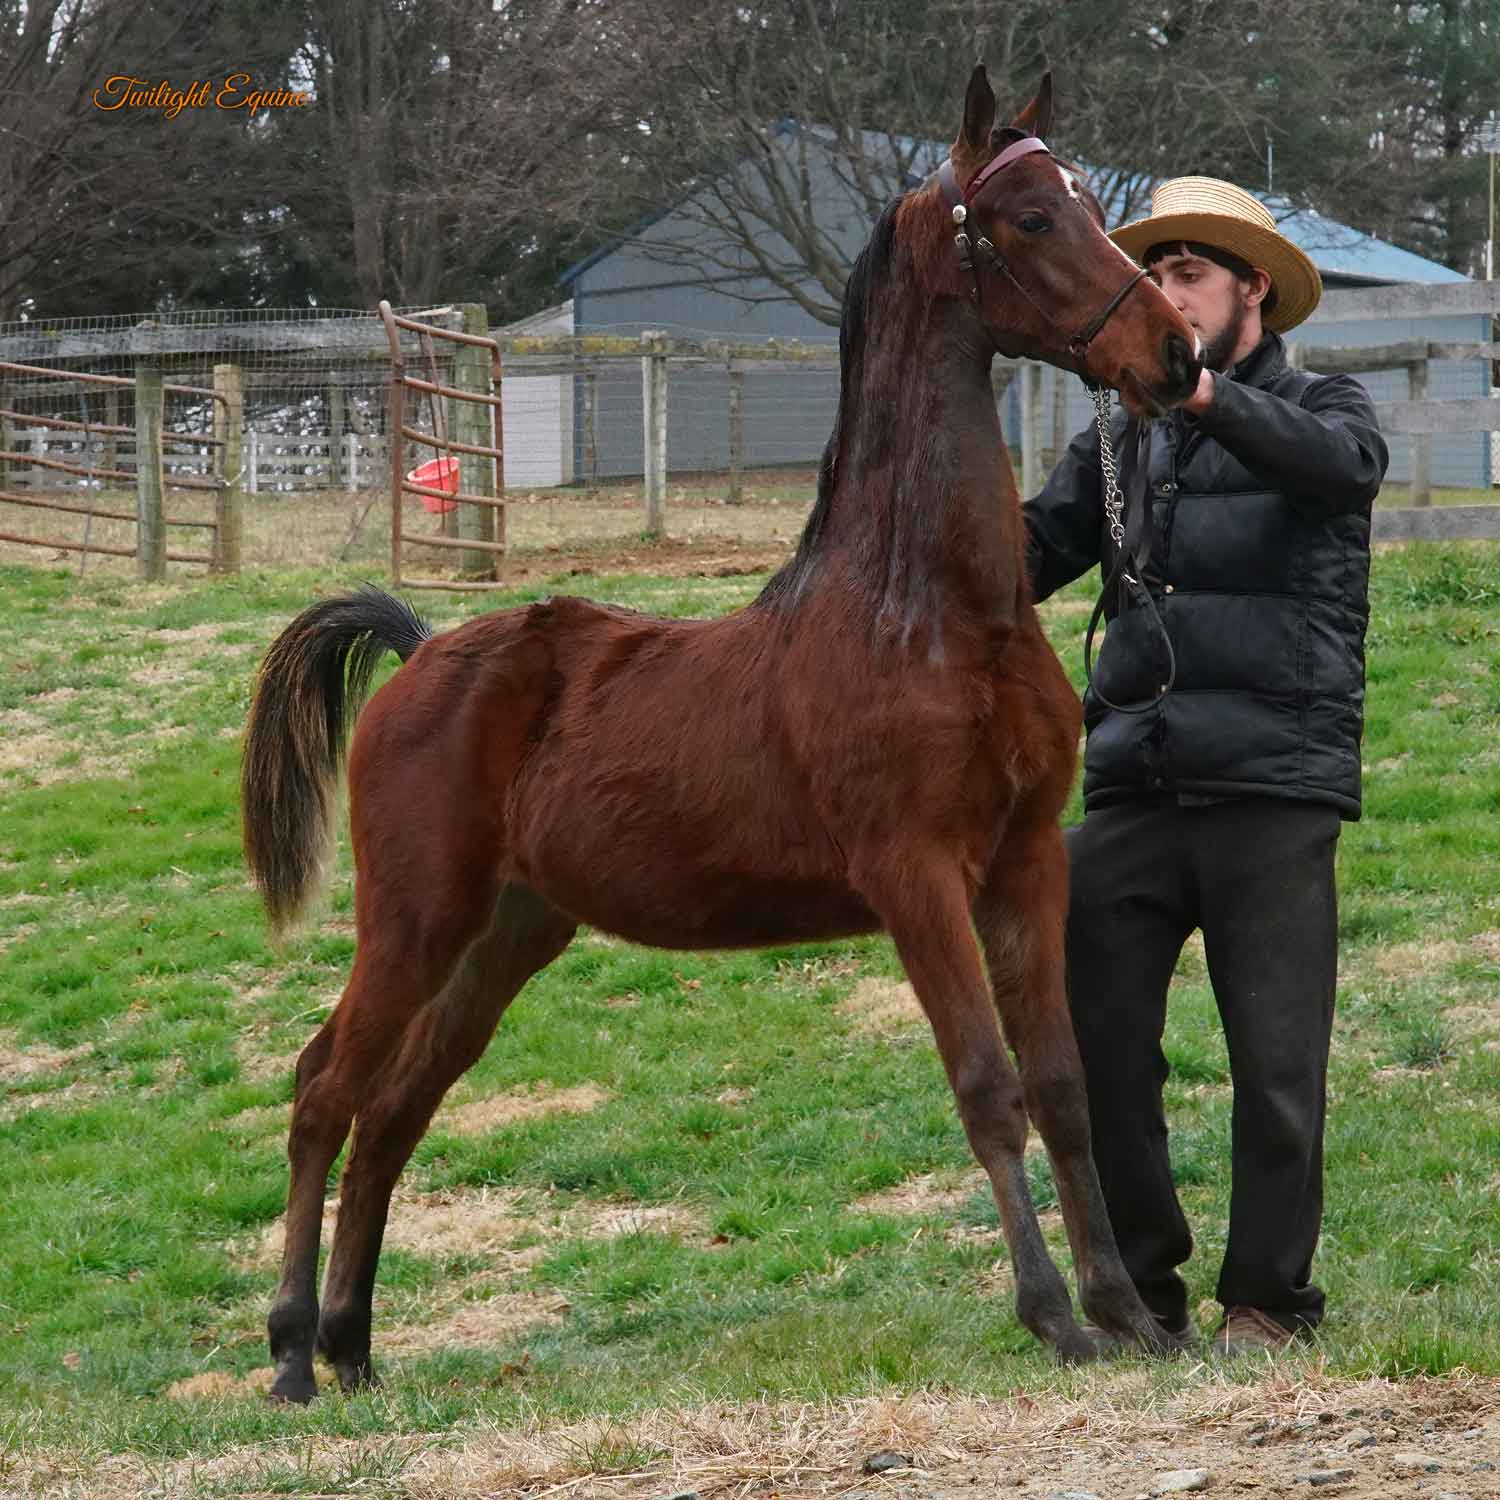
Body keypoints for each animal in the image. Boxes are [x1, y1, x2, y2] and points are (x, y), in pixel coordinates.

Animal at [241, 66, 1201, 1403]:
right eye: (1028, 218)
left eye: (1091, 204)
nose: (1176, 353)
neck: (929, 613)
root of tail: (420, 646)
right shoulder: (915, 878)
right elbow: (987, 1087)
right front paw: (1054, 1315)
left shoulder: (1024, 864)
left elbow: (1063, 1088)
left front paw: (1126, 1312)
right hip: (416, 920)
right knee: (324, 1087)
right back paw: (290, 1352)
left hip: (506, 935)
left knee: (394, 1109)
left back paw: (354, 1347)